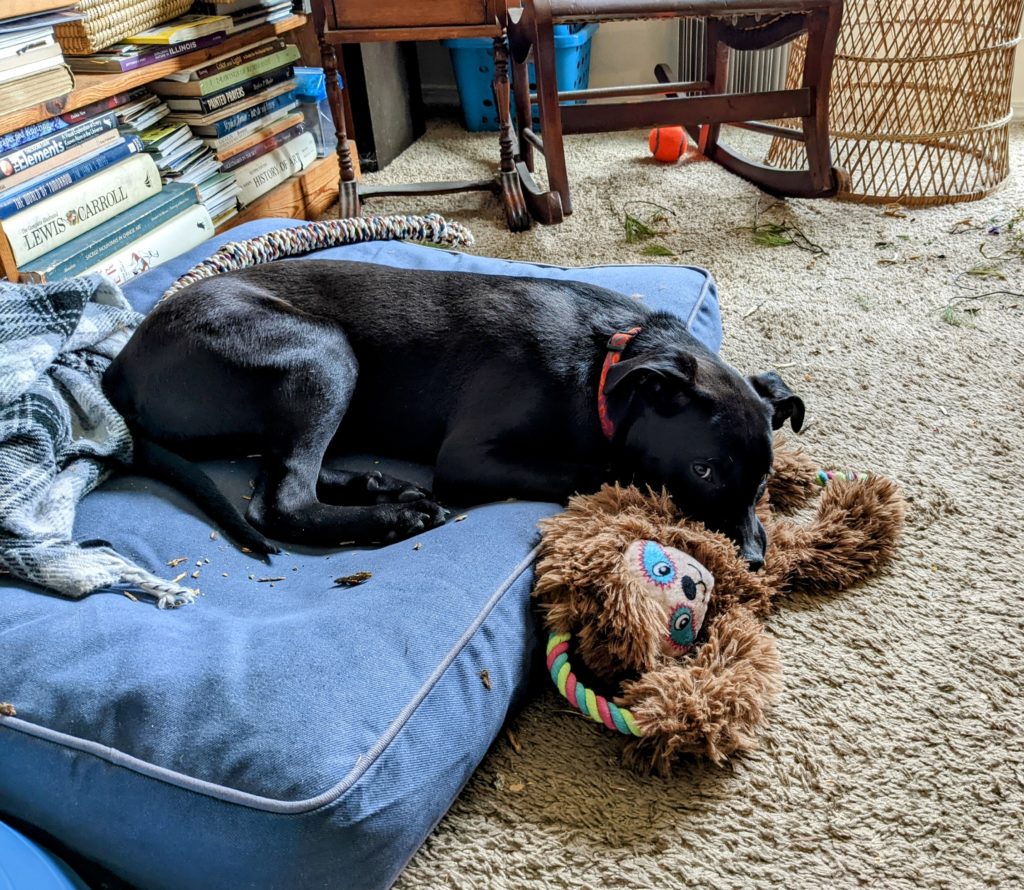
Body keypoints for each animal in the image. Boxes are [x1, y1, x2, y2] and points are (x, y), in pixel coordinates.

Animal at [105, 262, 806, 569]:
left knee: (285, 466)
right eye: (703, 470)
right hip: (324, 352)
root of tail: (118, 369)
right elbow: (594, 467)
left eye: (765, 481)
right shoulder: (469, 457)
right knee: (280, 497)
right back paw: (395, 516)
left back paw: (379, 485)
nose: (753, 562)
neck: (607, 363)